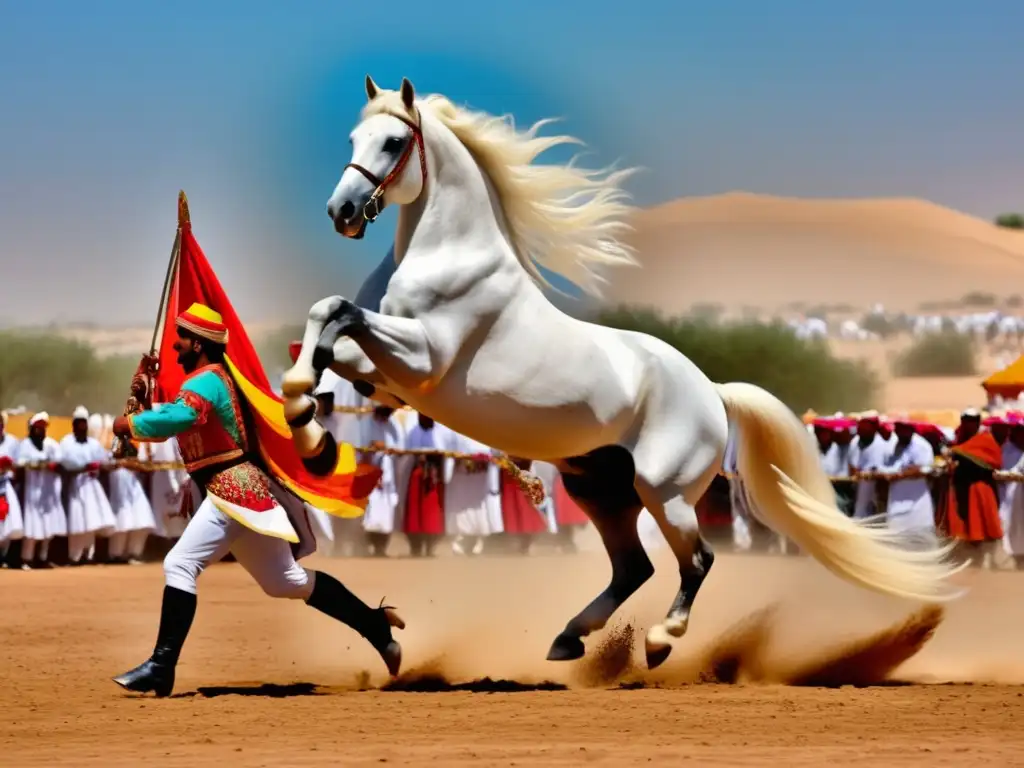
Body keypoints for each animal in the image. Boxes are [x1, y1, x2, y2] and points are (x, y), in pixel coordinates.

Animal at [282, 75, 966, 671]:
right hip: (601, 491)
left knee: (697, 561)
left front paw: (302, 417)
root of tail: (713, 393)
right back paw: (569, 638)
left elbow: (336, 312)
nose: (342, 210)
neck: (445, 253)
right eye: (353, 138)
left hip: (666, 491)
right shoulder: (384, 375)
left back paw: (660, 641)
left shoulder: (423, 360)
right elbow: (326, 327)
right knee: (634, 567)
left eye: (392, 143)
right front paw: (307, 424)